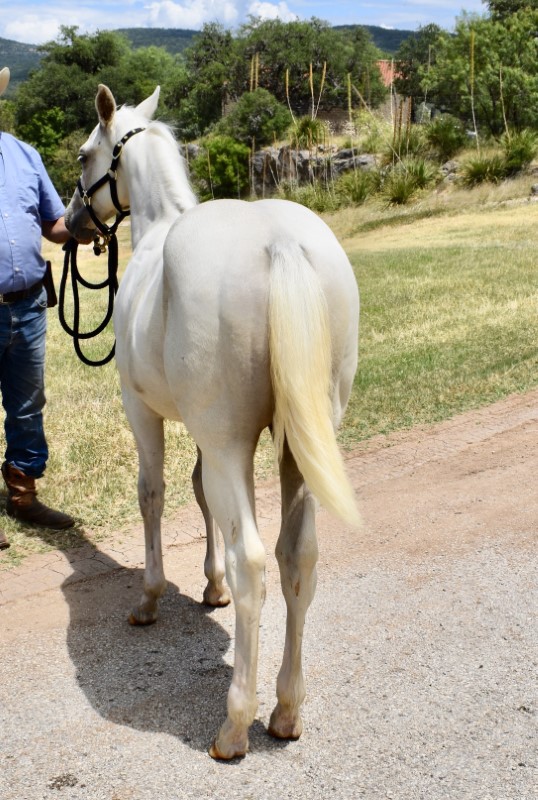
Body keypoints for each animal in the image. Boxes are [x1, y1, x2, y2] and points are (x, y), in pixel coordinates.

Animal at [66, 84, 360, 760]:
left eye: (85, 155)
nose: (69, 224)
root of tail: (279, 243)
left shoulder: (143, 410)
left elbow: (152, 494)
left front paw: (150, 599)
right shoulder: (206, 436)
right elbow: (200, 497)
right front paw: (210, 587)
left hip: (230, 442)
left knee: (253, 557)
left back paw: (234, 727)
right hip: (296, 446)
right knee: (296, 556)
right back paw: (285, 711)